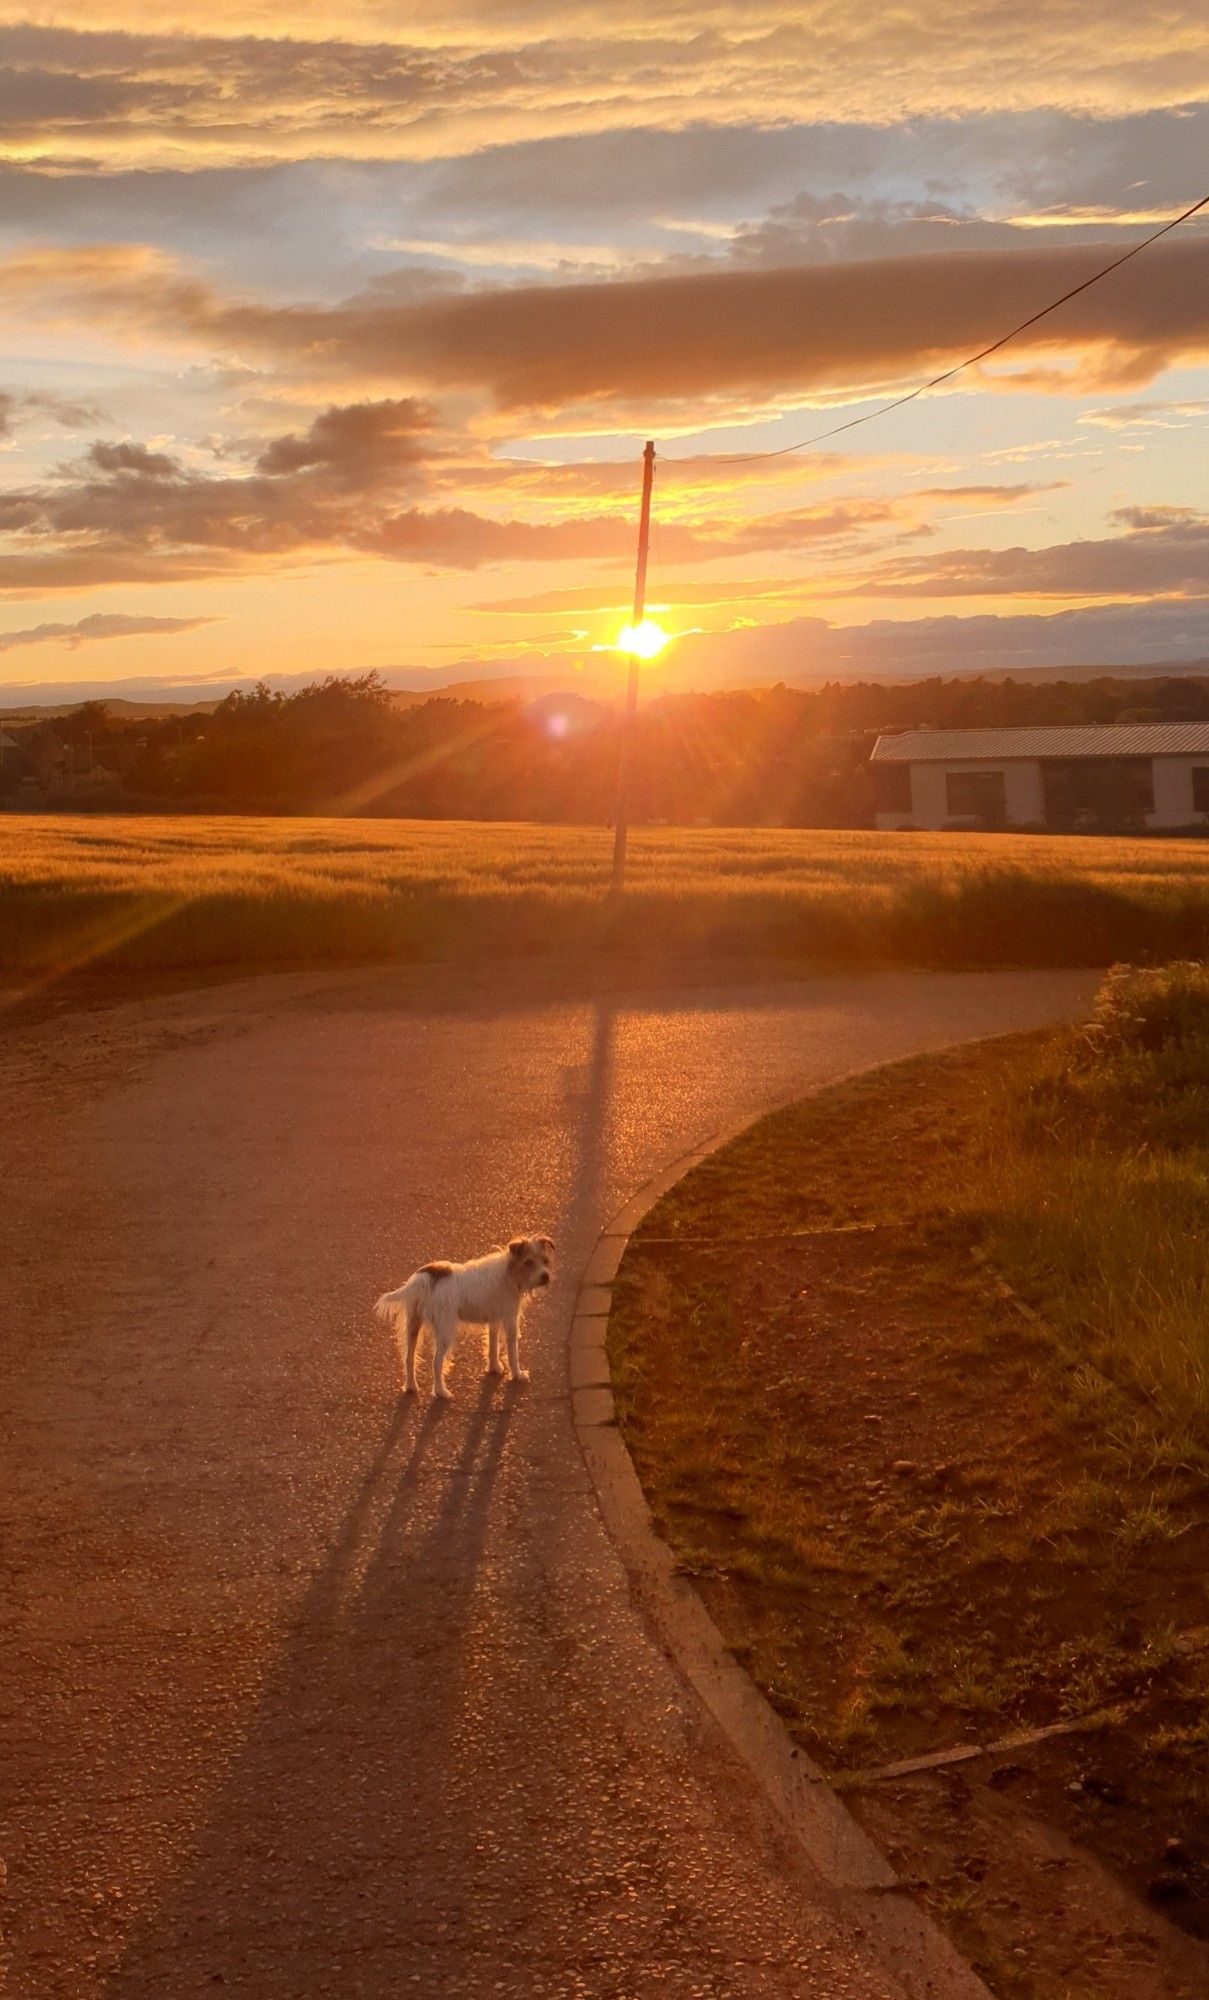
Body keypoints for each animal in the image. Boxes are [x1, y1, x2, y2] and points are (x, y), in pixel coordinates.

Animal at [372, 1240, 552, 1400]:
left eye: (545, 1260)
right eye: (528, 1262)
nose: (545, 1276)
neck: (509, 1270)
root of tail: (423, 1280)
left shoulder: (494, 1319)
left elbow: (492, 1344)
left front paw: (494, 1367)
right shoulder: (510, 1320)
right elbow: (512, 1351)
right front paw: (518, 1375)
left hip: (413, 1326)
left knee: (409, 1358)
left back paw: (411, 1387)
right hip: (445, 1330)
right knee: (436, 1362)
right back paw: (441, 1392)